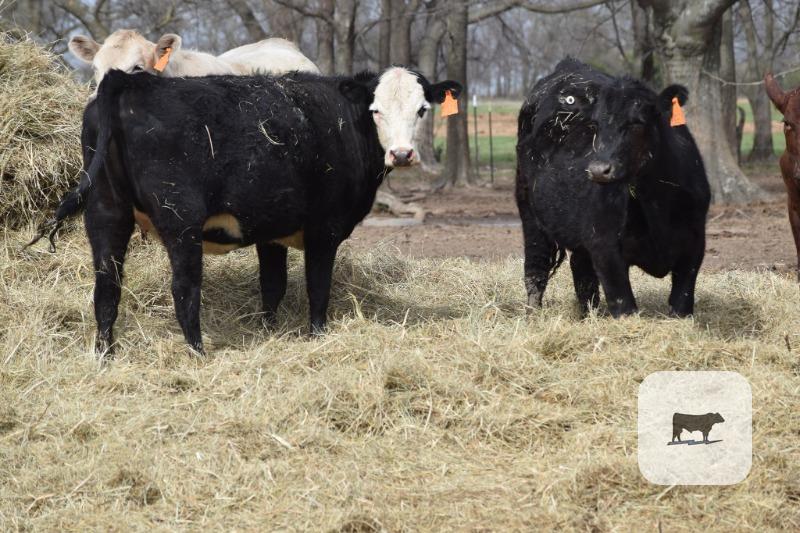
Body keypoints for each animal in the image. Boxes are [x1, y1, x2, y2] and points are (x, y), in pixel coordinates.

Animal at [70, 67, 461, 356]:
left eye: (422, 109)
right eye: (375, 110)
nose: (402, 154)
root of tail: (132, 80)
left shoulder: (271, 231)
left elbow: (273, 286)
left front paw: (269, 332)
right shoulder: (325, 228)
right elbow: (318, 286)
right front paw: (317, 336)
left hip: (105, 212)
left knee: (107, 288)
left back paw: (105, 355)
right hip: (180, 220)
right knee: (184, 289)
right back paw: (198, 352)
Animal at [515, 59, 710, 317]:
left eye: (637, 122)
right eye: (595, 125)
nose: (598, 169)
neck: (656, 202)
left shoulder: (694, 247)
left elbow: (681, 303)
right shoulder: (605, 247)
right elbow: (623, 304)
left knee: (582, 274)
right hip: (529, 211)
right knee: (536, 269)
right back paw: (532, 314)